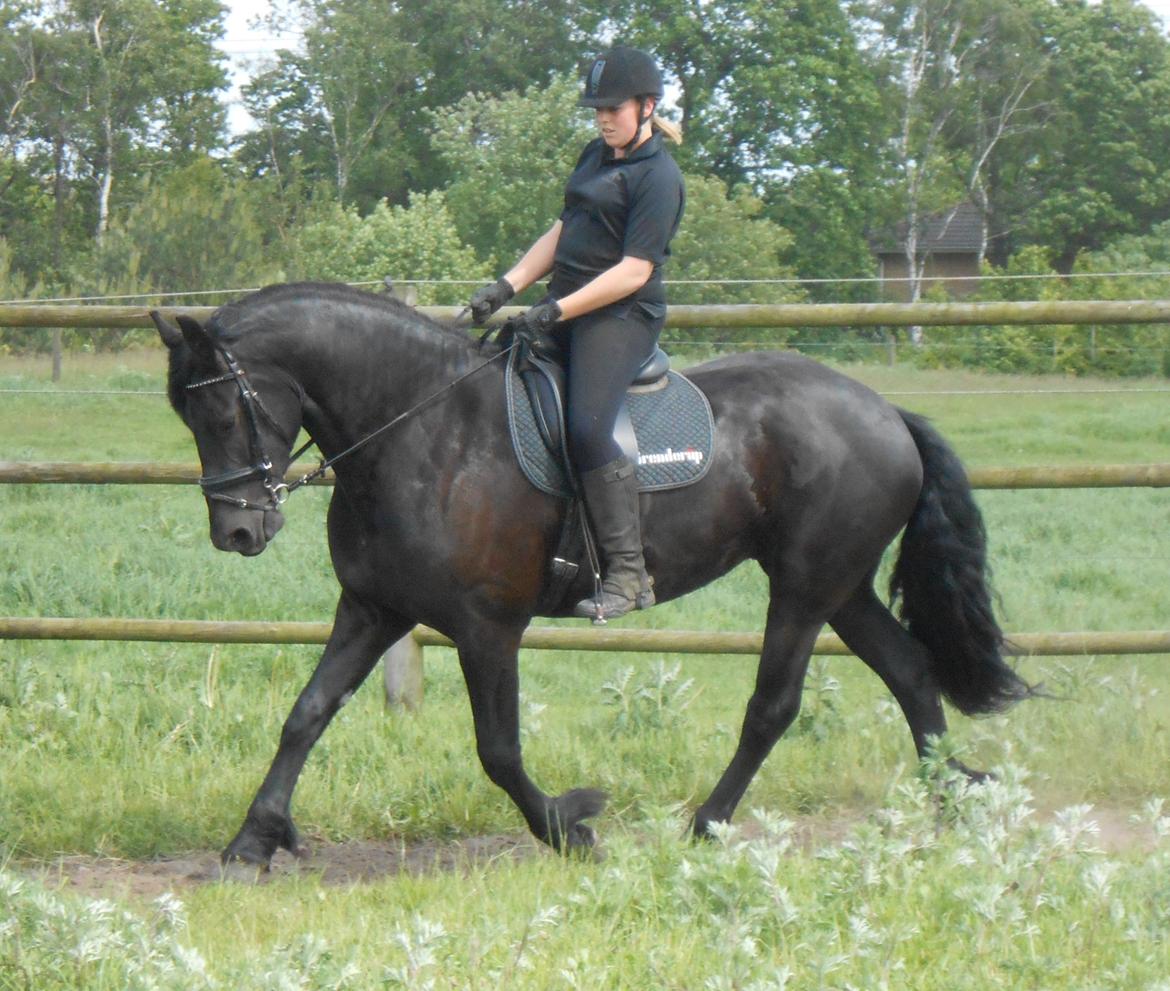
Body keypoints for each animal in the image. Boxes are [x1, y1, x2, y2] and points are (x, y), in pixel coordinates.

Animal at [150, 283, 1029, 865]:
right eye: (185, 415)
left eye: (224, 409)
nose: (237, 530)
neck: (425, 434)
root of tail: (885, 413)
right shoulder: (373, 608)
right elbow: (307, 713)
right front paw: (254, 836)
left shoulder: (487, 627)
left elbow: (498, 750)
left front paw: (571, 824)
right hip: (842, 588)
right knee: (910, 670)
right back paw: (953, 798)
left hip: (806, 588)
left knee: (774, 706)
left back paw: (708, 823)